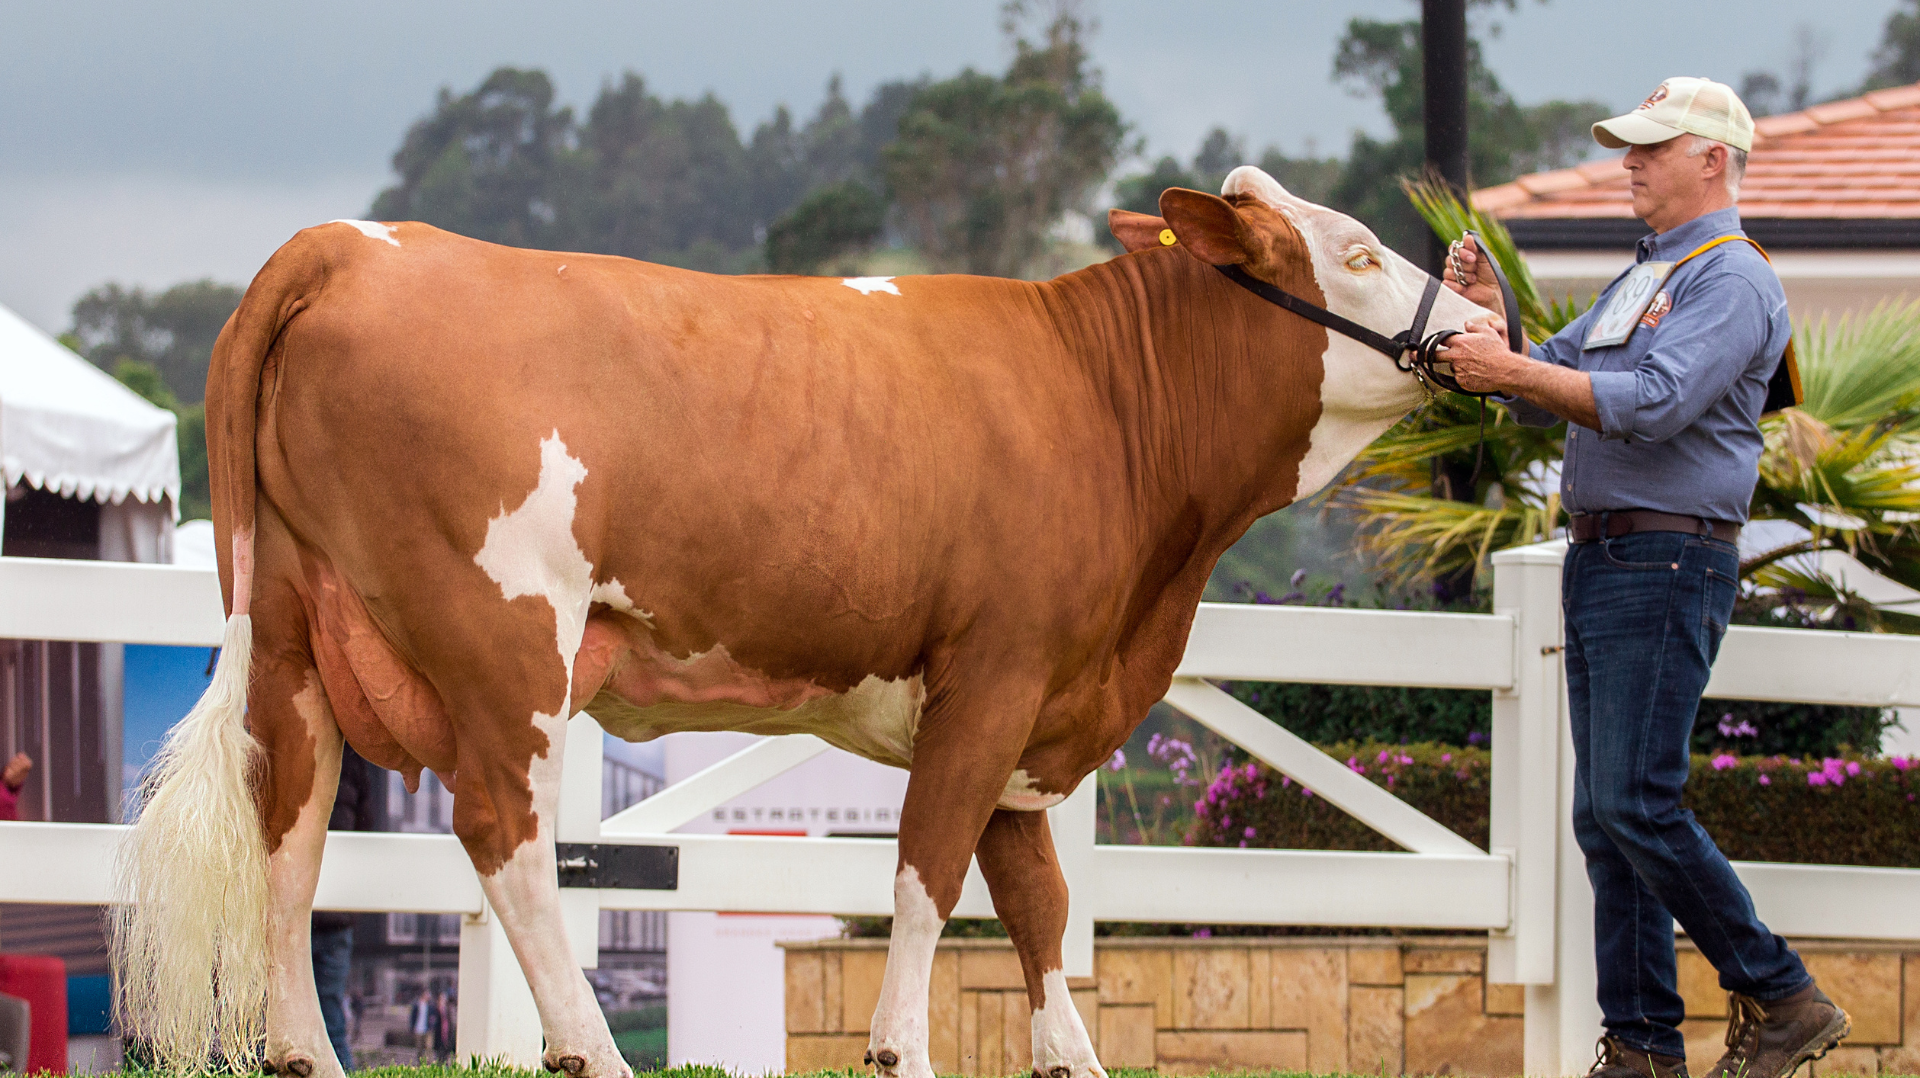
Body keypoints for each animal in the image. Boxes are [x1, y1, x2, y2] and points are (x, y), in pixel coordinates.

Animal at [112, 165, 1485, 1078]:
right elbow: (931, 874)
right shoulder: (995, 675)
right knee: (504, 835)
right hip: (505, 638)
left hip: (295, 629)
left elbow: (1036, 899)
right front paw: (899, 1053)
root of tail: (353, 244)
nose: (1481, 324)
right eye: (1359, 251)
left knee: (289, 827)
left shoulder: (1038, 703)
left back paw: (304, 1054)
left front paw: (1071, 1058)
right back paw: (594, 1050)